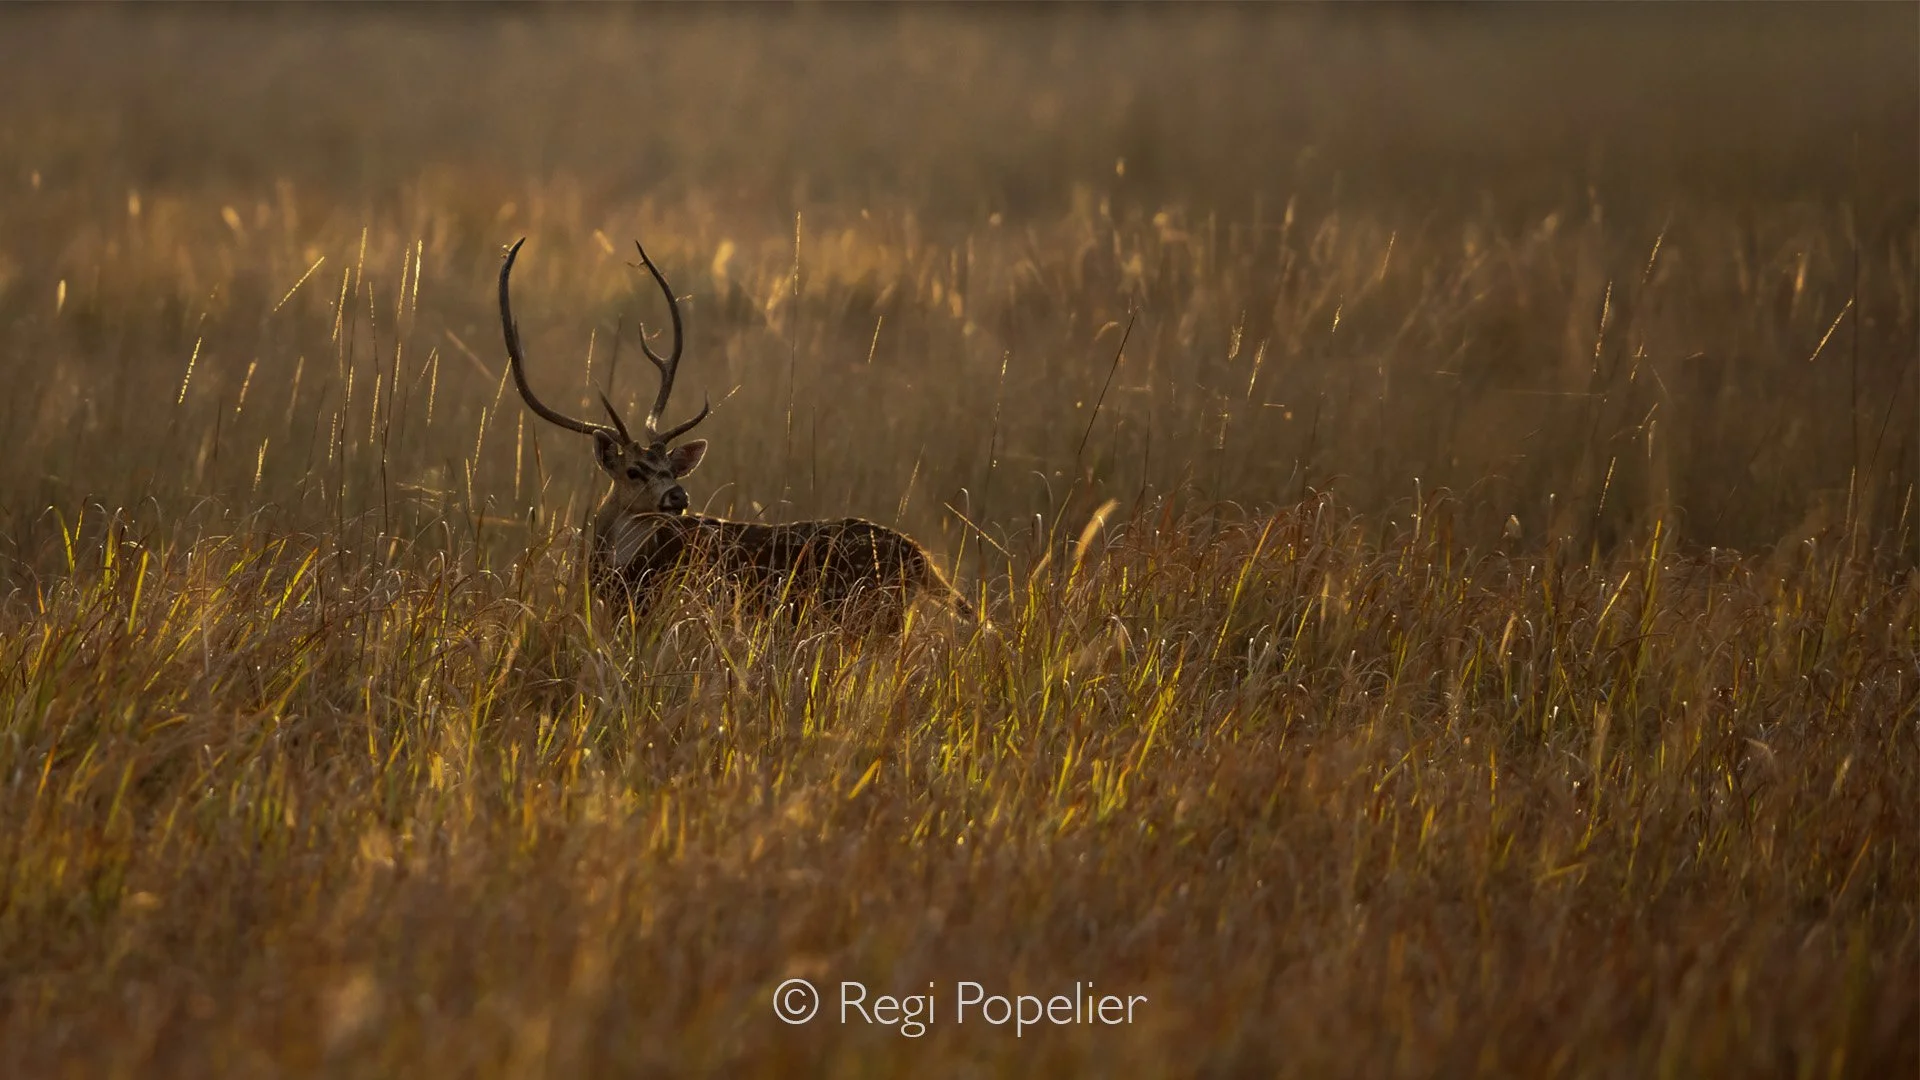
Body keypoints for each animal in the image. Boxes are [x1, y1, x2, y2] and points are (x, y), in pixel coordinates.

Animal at [499, 237, 978, 633]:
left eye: (671, 466)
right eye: (634, 470)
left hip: (873, 617)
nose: (678, 496)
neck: (616, 570)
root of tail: (922, 559)